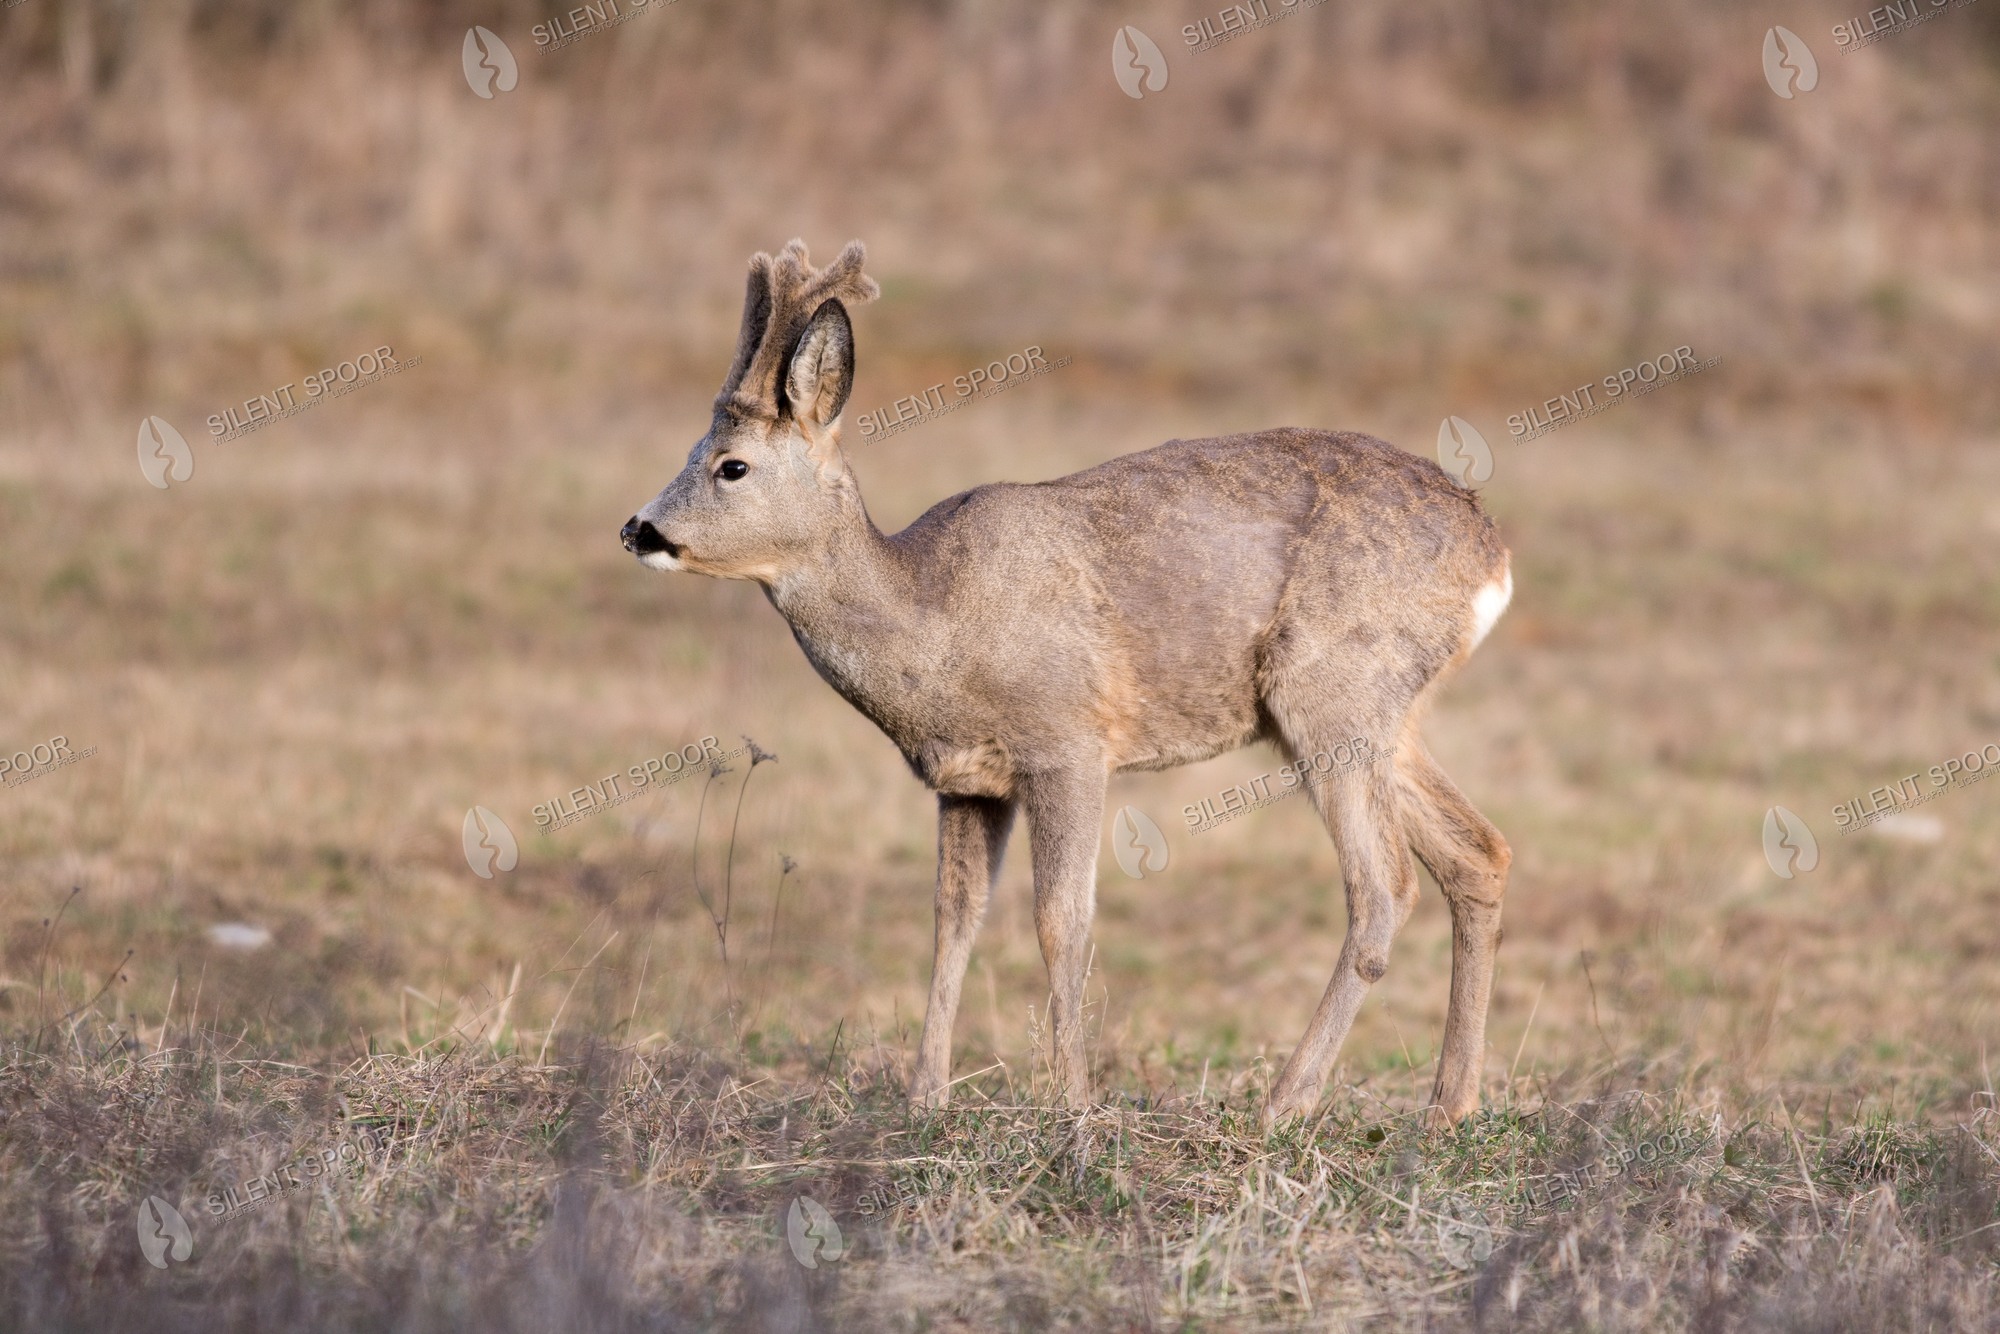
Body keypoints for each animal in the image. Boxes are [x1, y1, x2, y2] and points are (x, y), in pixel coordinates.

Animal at [621, 239, 1514, 1128]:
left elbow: (1063, 921)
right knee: (1478, 853)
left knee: (1384, 886)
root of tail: (1492, 556)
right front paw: (925, 1097)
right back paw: (1450, 1105)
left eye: (731, 466)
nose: (638, 529)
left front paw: (1073, 1103)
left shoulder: (1068, 745)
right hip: (1378, 716)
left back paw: (1284, 1103)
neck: (932, 615)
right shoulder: (967, 781)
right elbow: (954, 920)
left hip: (1331, 692)